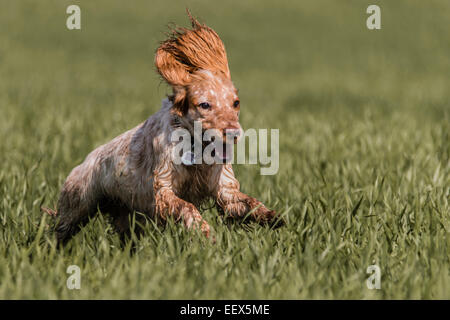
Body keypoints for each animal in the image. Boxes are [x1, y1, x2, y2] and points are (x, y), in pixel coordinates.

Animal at [48, 10, 282, 245]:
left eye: (236, 103)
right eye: (205, 104)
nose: (233, 133)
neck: (195, 149)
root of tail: (85, 160)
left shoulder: (224, 189)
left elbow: (247, 201)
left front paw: (270, 216)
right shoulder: (163, 189)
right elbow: (186, 206)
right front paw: (204, 231)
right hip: (76, 206)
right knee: (59, 232)